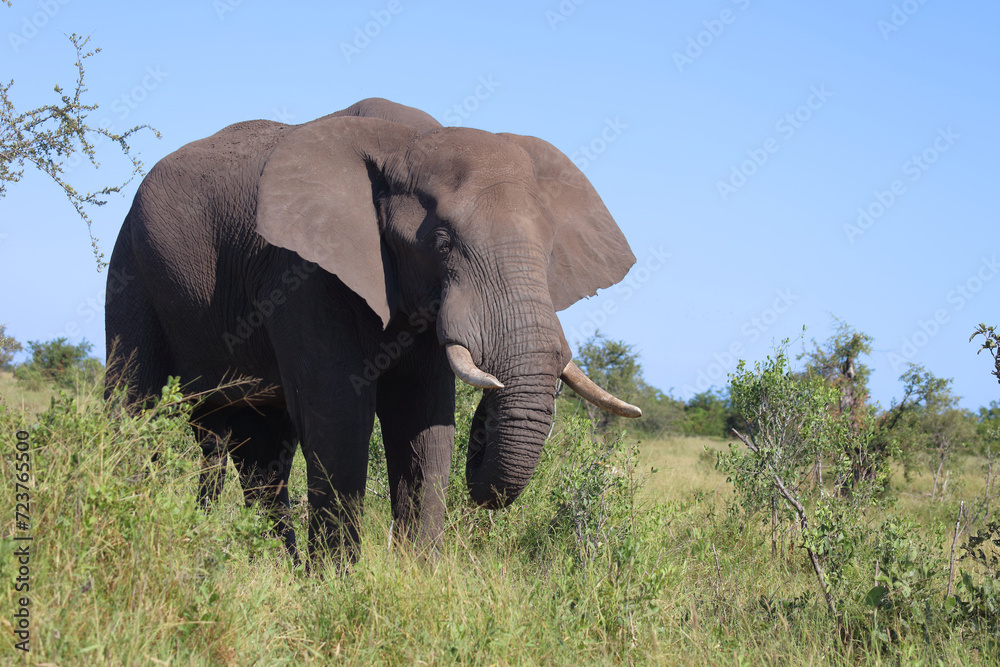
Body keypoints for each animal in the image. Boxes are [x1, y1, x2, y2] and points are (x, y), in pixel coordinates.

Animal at [105, 97, 640, 562]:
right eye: (441, 243)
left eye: (549, 251)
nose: (489, 414)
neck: (406, 143)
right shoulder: (300, 272)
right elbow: (340, 415)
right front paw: (336, 585)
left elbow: (425, 422)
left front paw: (417, 576)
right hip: (131, 266)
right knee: (136, 407)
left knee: (260, 447)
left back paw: (275, 567)